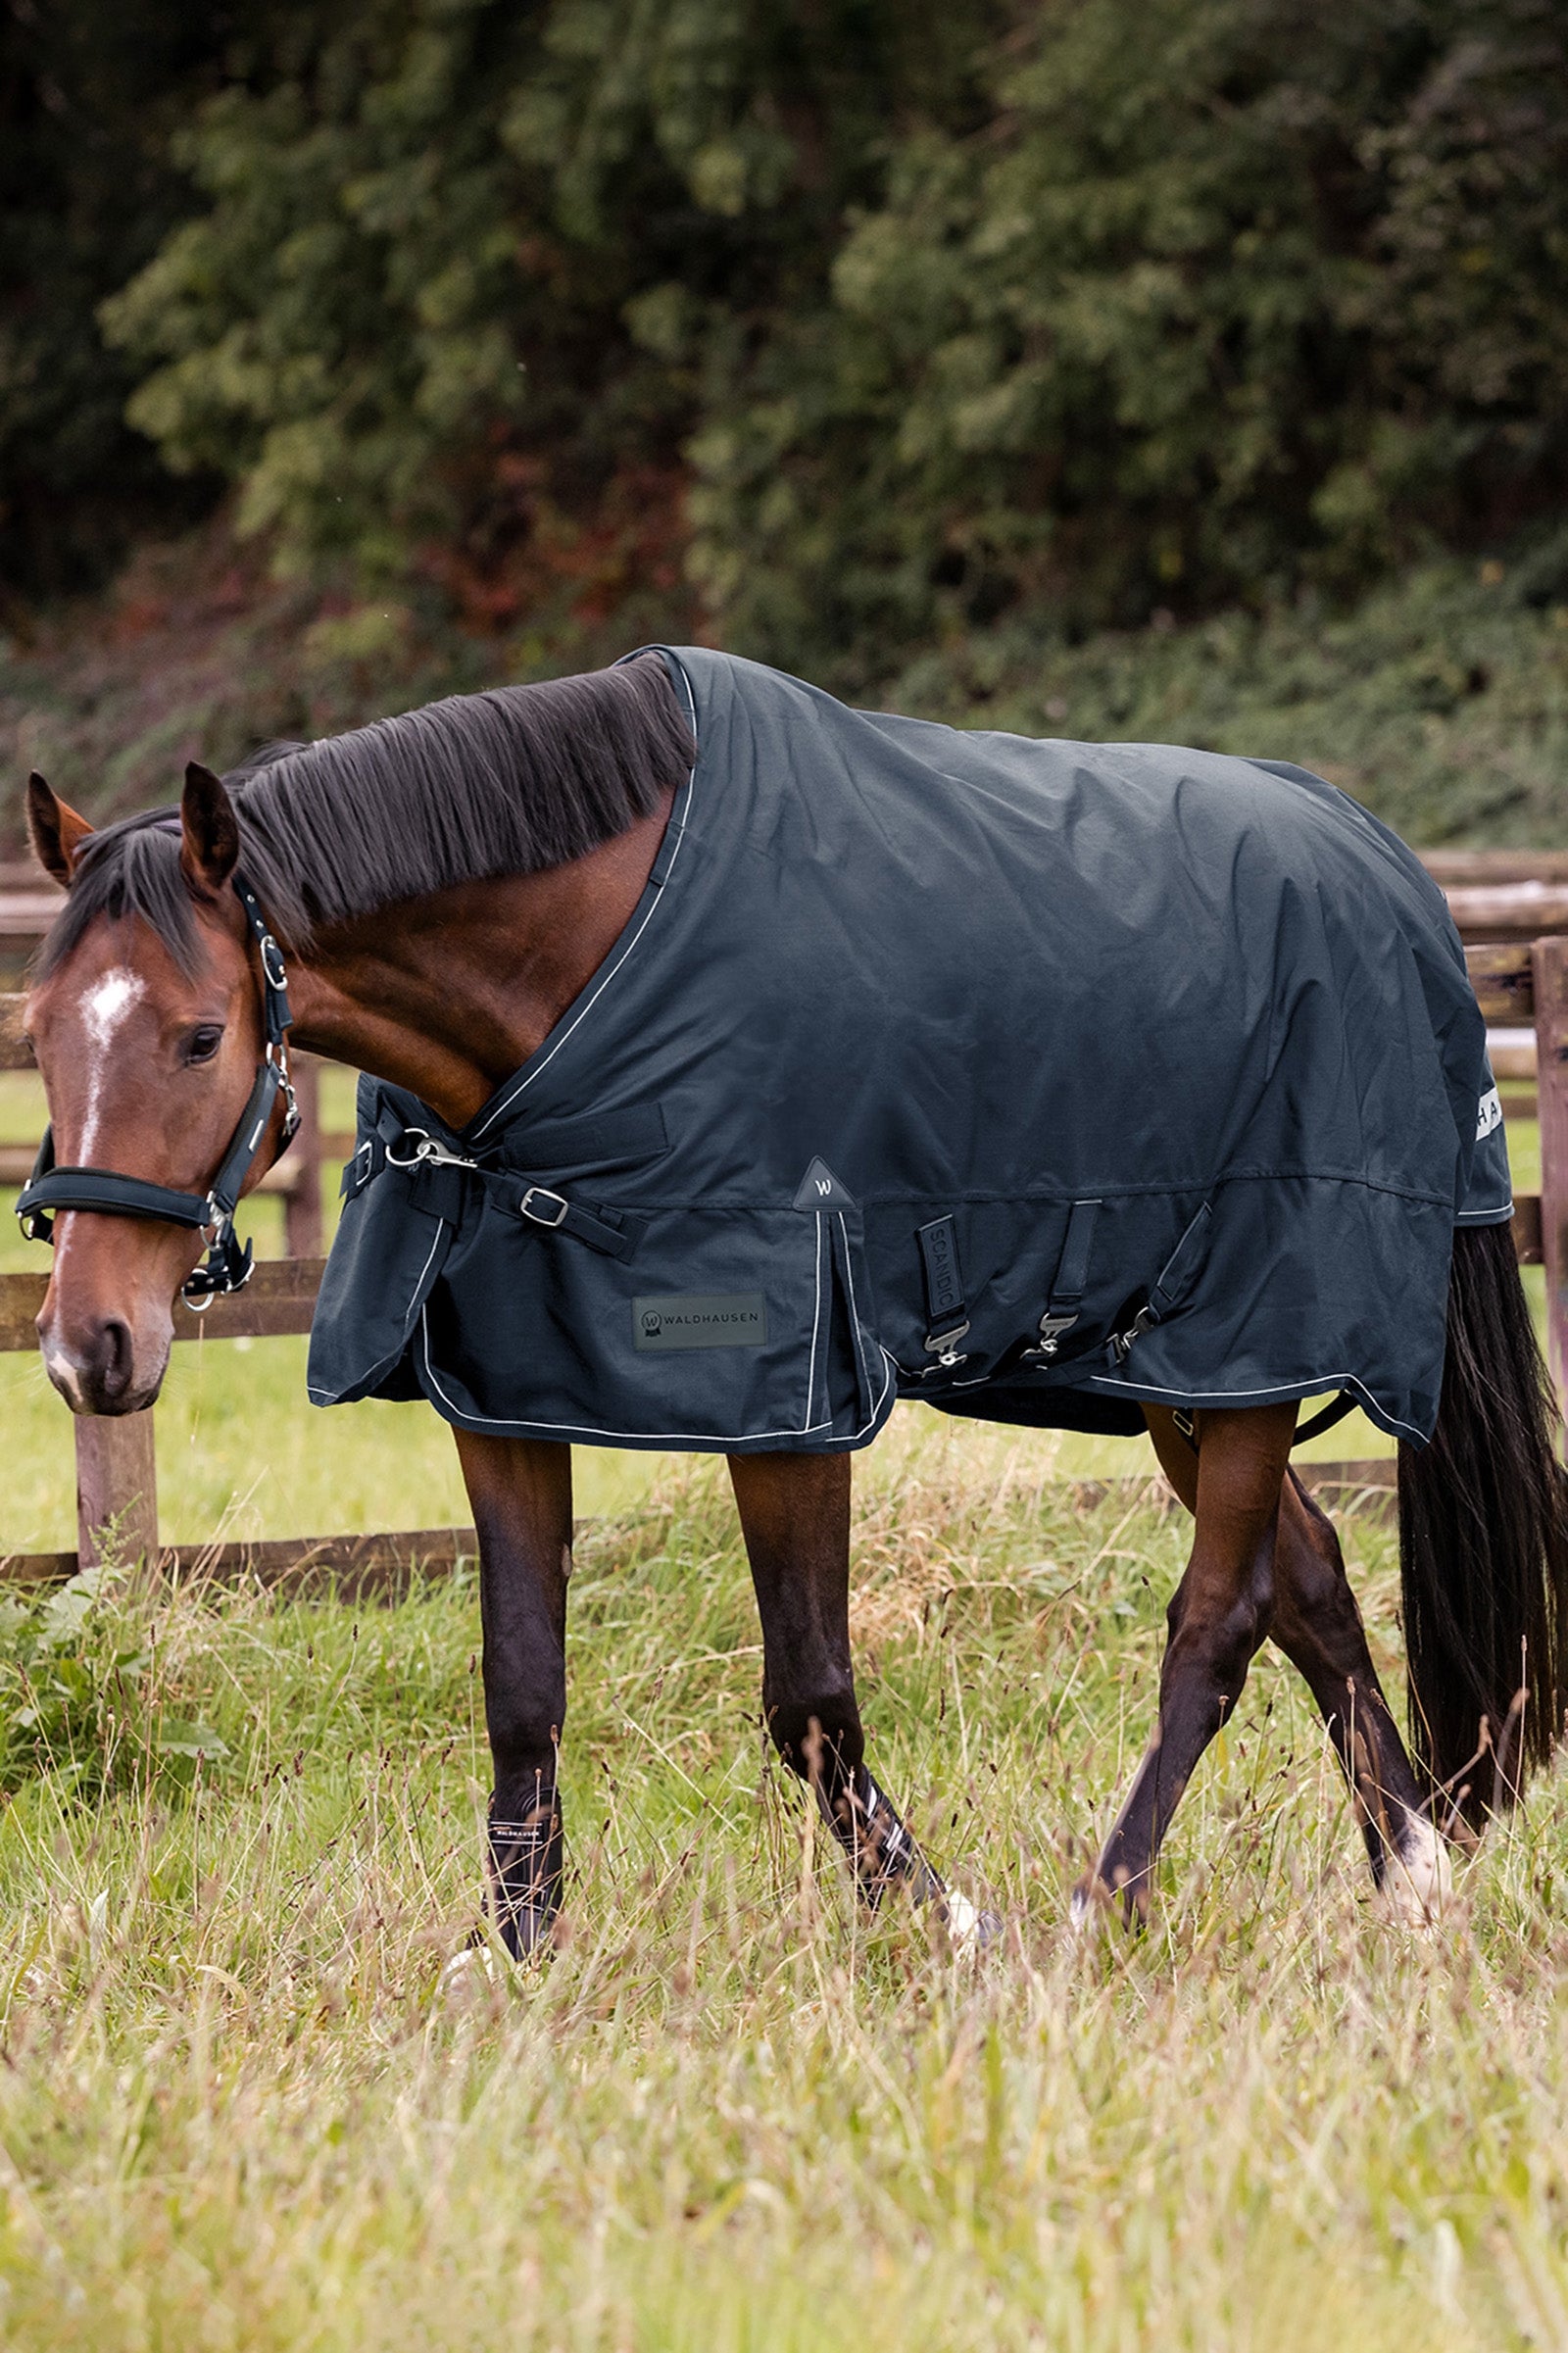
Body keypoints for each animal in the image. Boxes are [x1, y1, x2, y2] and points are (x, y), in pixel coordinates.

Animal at [17, 646, 1568, 1953]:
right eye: (37, 1029)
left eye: (199, 1036)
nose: (92, 1349)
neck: (588, 982)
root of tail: (1386, 870)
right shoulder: (504, 1388)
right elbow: (520, 1683)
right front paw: (516, 1951)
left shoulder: (790, 1396)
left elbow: (809, 1698)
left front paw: (938, 1921)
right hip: (1185, 1372)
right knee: (1308, 1579)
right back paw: (1412, 1880)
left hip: (1252, 1333)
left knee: (1219, 1623)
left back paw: (1101, 1908)